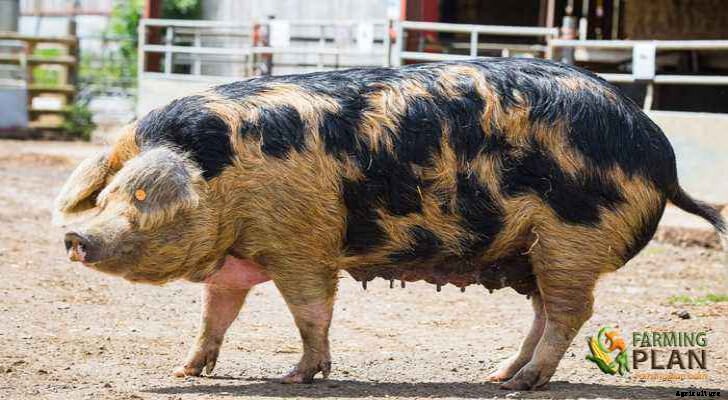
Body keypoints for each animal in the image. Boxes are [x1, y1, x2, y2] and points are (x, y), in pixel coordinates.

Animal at [54, 58, 727, 390]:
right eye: (107, 195)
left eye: (142, 195)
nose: (74, 237)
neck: (224, 178)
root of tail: (659, 152)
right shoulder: (239, 257)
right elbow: (215, 315)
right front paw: (184, 371)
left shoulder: (304, 243)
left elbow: (311, 310)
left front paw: (297, 376)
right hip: (532, 250)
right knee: (544, 312)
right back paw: (498, 375)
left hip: (573, 239)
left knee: (572, 311)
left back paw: (525, 384)